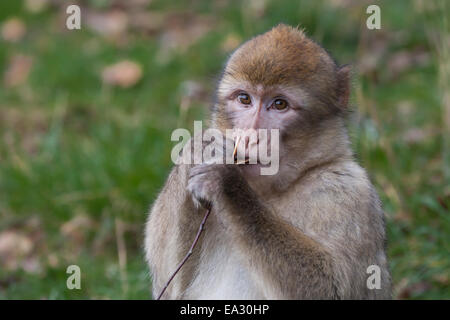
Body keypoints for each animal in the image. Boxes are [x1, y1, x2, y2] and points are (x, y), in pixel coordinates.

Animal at [144, 24, 390, 300]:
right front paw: (200, 148)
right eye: (244, 99)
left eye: (279, 104)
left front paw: (226, 183)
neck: (272, 191)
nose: (251, 136)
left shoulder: (351, 192)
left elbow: (333, 287)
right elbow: (169, 285)